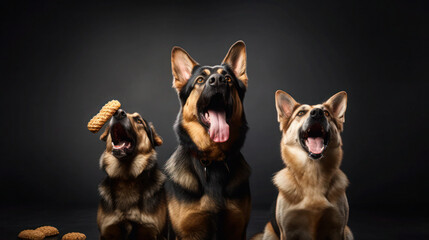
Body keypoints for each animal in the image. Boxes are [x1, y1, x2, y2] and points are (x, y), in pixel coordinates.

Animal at [164, 41, 251, 240]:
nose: (217, 80)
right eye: (200, 80)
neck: (213, 159)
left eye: (227, 79)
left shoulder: (237, 229)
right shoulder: (186, 232)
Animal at [252, 90, 350, 240]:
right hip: (269, 232)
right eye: (300, 113)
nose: (317, 113)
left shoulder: (338, 230)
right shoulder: (287, 232)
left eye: (326, 113)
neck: (313, 174)